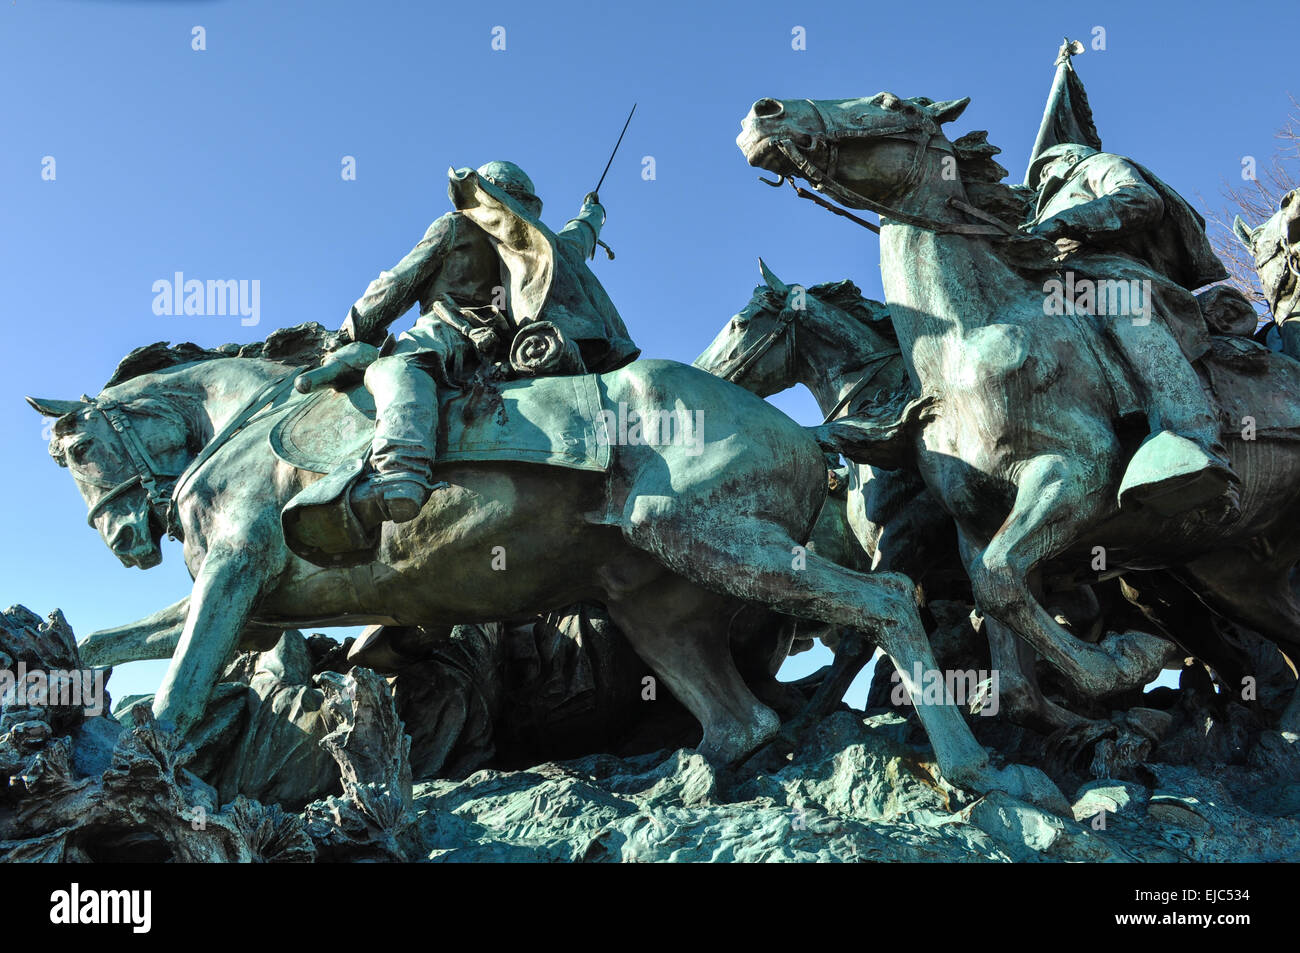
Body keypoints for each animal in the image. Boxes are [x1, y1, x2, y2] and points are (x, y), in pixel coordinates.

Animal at [30, 345, 1060, 800]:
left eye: (74, 448)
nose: (124, 536)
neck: (239, 421)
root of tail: (806, 429)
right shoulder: (254, 606)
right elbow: (107, 640)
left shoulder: (235, 578)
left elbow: (175, 692)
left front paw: (142, 765)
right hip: (659, 604)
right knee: (745, 717)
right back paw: (682, 787)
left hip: (706, 533)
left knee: (883, 599)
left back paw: (974, 765)